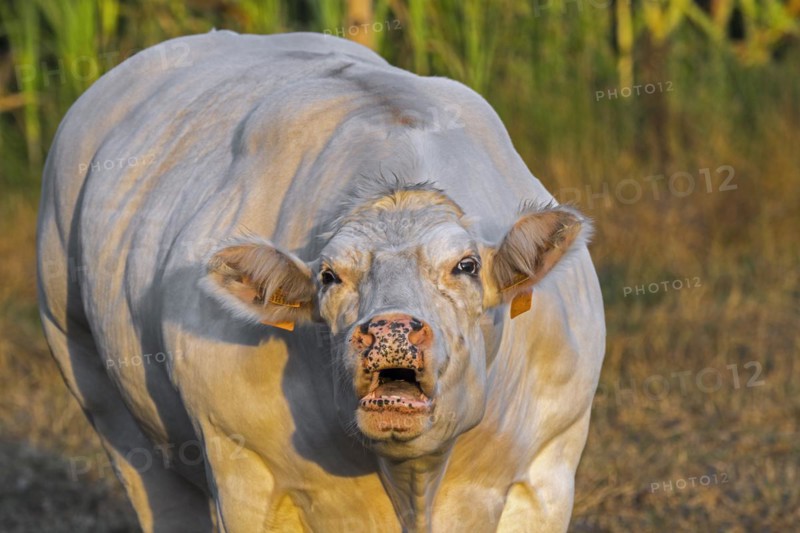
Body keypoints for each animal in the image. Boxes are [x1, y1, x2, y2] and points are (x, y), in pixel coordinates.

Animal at [36, 31, 605, 532]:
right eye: (330, 276)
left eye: (465, 265)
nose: (391, 331)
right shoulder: (242, 471)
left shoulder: (549, 463)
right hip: (92, 382)